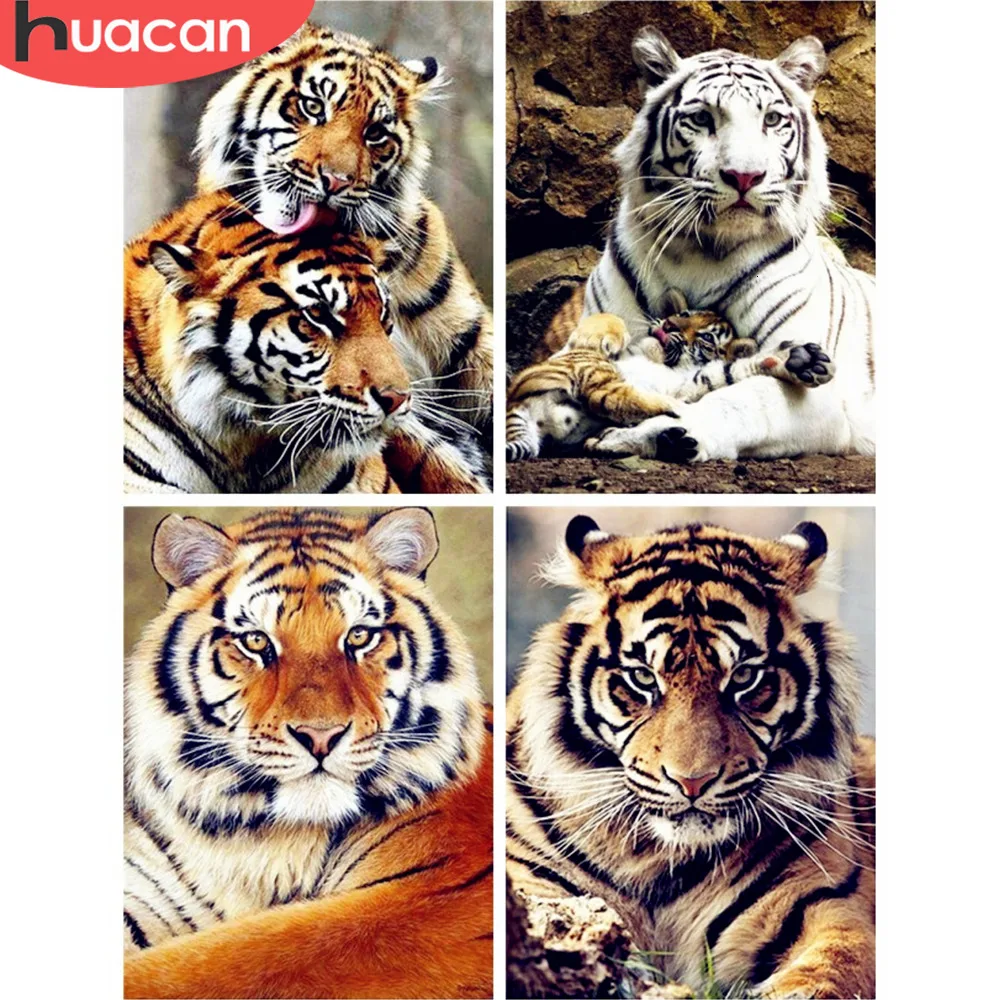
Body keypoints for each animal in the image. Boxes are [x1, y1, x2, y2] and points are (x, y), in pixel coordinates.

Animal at [124, 507, 493, 1000]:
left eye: (359, 636)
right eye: (256, 642)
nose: (320, 736)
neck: (256, 840)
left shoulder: (434, 897)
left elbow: (229, 963)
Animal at [507, 516, 874, 999]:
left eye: (745, 677)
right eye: (643, 678)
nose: (693, 782)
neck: (657, 859)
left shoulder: (826, 902)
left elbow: (833, 968)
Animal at [547, 28, 874, 464]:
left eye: (772, 120)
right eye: (702, 118)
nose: (745, 176)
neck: (703, 252)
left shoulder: (820, 398)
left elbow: (738, 402)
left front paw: (649, 433)